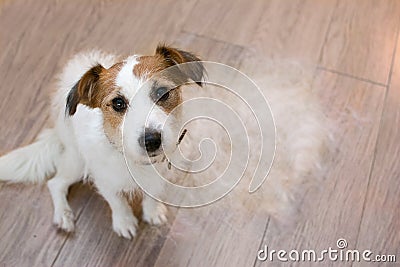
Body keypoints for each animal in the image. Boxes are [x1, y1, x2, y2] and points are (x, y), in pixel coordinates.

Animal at [0, 45, 206, 240]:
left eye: (163, 93)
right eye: (118, 103)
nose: (151, 140)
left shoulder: (159, 178)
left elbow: (152, 195)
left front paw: (152, 212)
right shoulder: (103, 179)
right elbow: (117, 201)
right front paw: (124, 222)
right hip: (77, 162)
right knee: (55, 183)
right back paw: (63, 215)